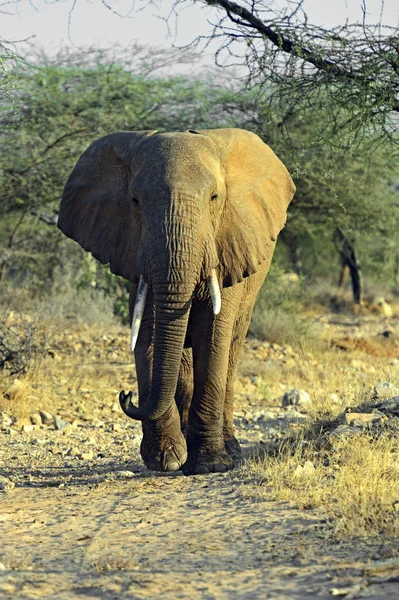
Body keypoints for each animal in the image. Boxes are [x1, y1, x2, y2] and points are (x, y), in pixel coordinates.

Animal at [58, 129, 296, 476]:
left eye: (214, 198)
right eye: (134, 201)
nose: (126, 395)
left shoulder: (227, 246)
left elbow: (213, 335)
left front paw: (210, 463)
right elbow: (147, 333)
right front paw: (166, 460)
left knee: (231, 352)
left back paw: (231, 451)